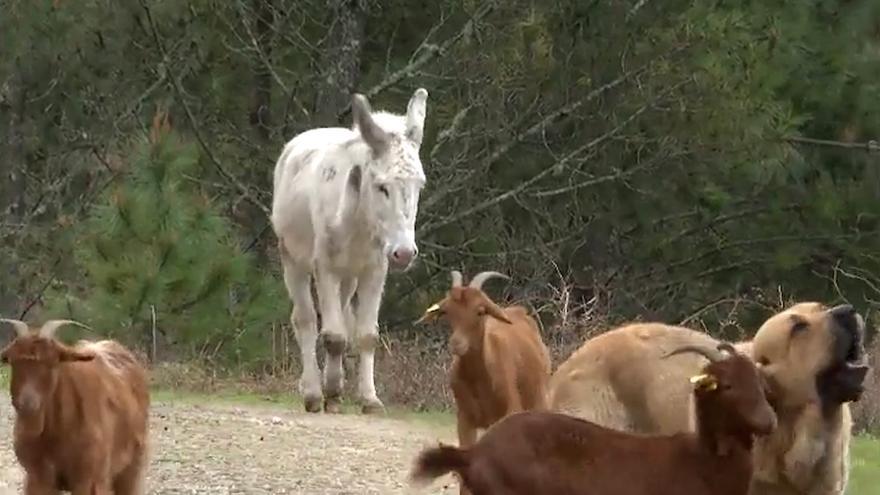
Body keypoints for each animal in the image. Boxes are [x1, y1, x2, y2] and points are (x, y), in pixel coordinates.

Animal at [272, 89, 430, 414]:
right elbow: (333, 336)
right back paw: (313, 392)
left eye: (419, 185)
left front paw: (367, 398)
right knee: (306, 320)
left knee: (343, 316)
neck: (361, 224)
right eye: (382, 186)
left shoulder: (375, 270)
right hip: (292, 259)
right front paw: (327, 391)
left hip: (349, 277)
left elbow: (366, 335)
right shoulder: (325, 267)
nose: (404, 254)